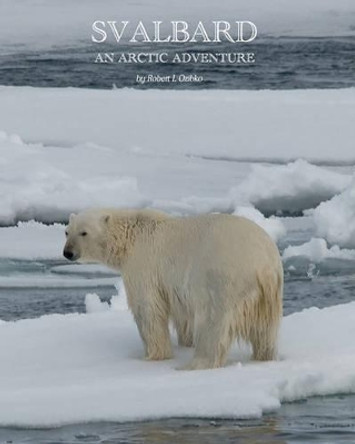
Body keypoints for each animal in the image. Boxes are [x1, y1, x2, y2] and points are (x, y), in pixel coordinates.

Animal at [63, 210, 284, 370]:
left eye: (84, 232)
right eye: (67, 231)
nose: (68, 252)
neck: (131, 237)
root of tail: (264, 263)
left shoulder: (143, 266)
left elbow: (148, 309)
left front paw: (153, 355)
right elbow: (182, 314)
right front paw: (184, 342)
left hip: (223, 280)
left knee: (212, 323)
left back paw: (194, 364)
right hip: (269, 294)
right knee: (265, 330)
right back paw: (264, 356)